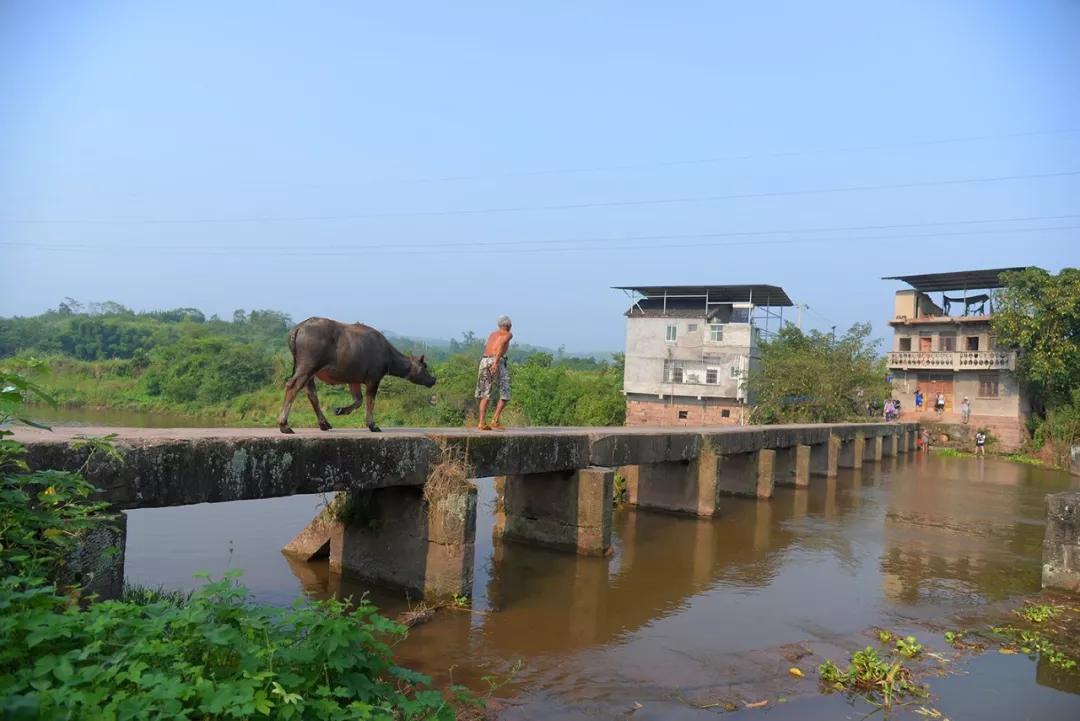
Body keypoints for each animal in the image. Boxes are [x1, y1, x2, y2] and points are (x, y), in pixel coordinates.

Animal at [276, 317, 436, 433]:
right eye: (425, 366)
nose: (433, 379)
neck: (388, 355)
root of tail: (299, 327)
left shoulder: (354, 380)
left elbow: (358, 400)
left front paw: (341, 410)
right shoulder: (374, 379)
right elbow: (370, 401)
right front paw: (372, 425)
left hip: (309, 372)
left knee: (311, 394)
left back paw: (324, 423)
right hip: (307, 367)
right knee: (292, 386)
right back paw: (284, 425)